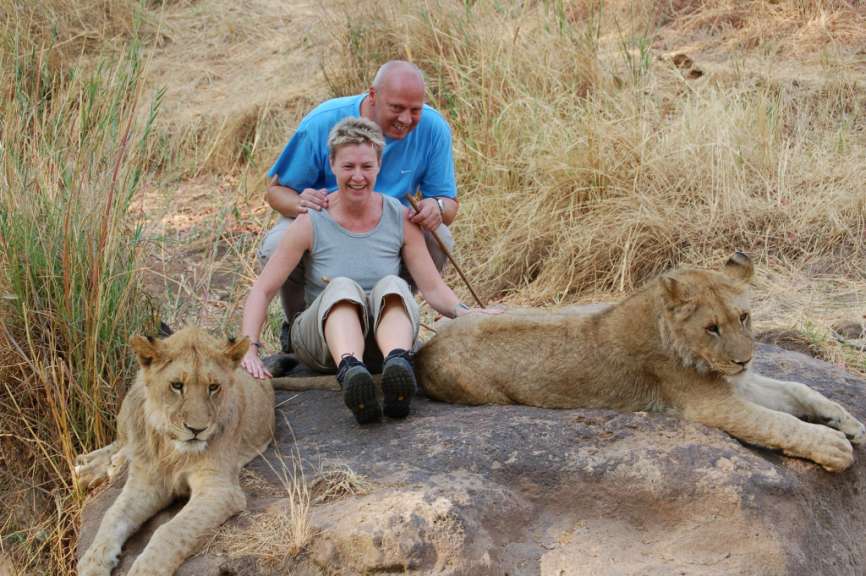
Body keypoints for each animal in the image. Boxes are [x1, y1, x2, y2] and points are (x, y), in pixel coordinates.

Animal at [77, 328, 274, 576]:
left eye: (213, 387)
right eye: (177, 386)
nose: (197, 430)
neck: (173, 451)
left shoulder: (220, 490)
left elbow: (170, 530)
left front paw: (145, 571)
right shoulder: (146, 482)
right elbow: (113, 514)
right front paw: (92, 562)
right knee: (121, 442)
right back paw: (89, 468)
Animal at [414, 252, 866, 472]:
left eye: (743, 317)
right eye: (711, 328)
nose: (745, 359)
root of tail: (423, 351)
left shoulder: (736, 382)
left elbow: (799, 390)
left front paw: (849, 423)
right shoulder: (710, 403)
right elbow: (778, 422)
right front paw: (832, 446)